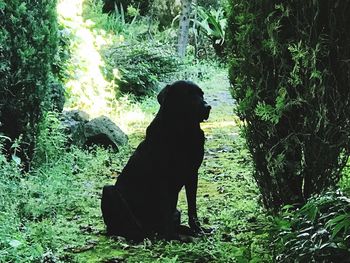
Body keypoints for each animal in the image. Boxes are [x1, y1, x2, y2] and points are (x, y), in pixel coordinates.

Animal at [101, 80, 211, 241]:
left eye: (201, 94)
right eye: (188, 95)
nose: (207, 107)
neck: (183, 132)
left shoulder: (192, 174)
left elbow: (192, 207)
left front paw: (197, 229)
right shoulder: (162, 177)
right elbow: (165, 209)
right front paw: (171, 236)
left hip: (175, 211)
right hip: (109, 191)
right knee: (132, 228)